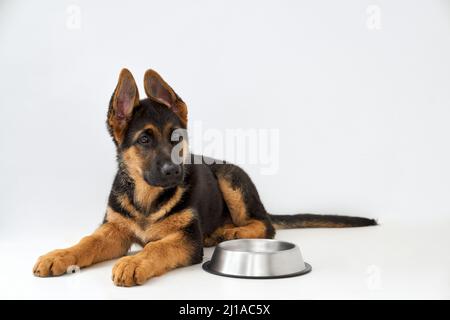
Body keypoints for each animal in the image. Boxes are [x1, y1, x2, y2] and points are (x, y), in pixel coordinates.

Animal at [32, 69, 376, 286]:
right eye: (144, 140)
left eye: (176, 138)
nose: (174, 172)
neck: (146, 197)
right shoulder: (113, 231)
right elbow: (86, 242)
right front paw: (59, 255)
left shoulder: (187, 239)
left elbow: (157, 248)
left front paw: (135, 261)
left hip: (229, 177)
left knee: (265, 225)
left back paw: (230, 232)